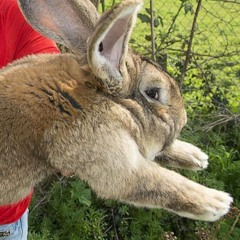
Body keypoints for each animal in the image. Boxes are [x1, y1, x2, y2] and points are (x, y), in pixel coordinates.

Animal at [0, 0, 232, 222]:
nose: (184, 118)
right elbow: (163, 182)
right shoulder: (114, 161)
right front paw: (218, 203)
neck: (97, 93)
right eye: (154, 93)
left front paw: (196, 157)